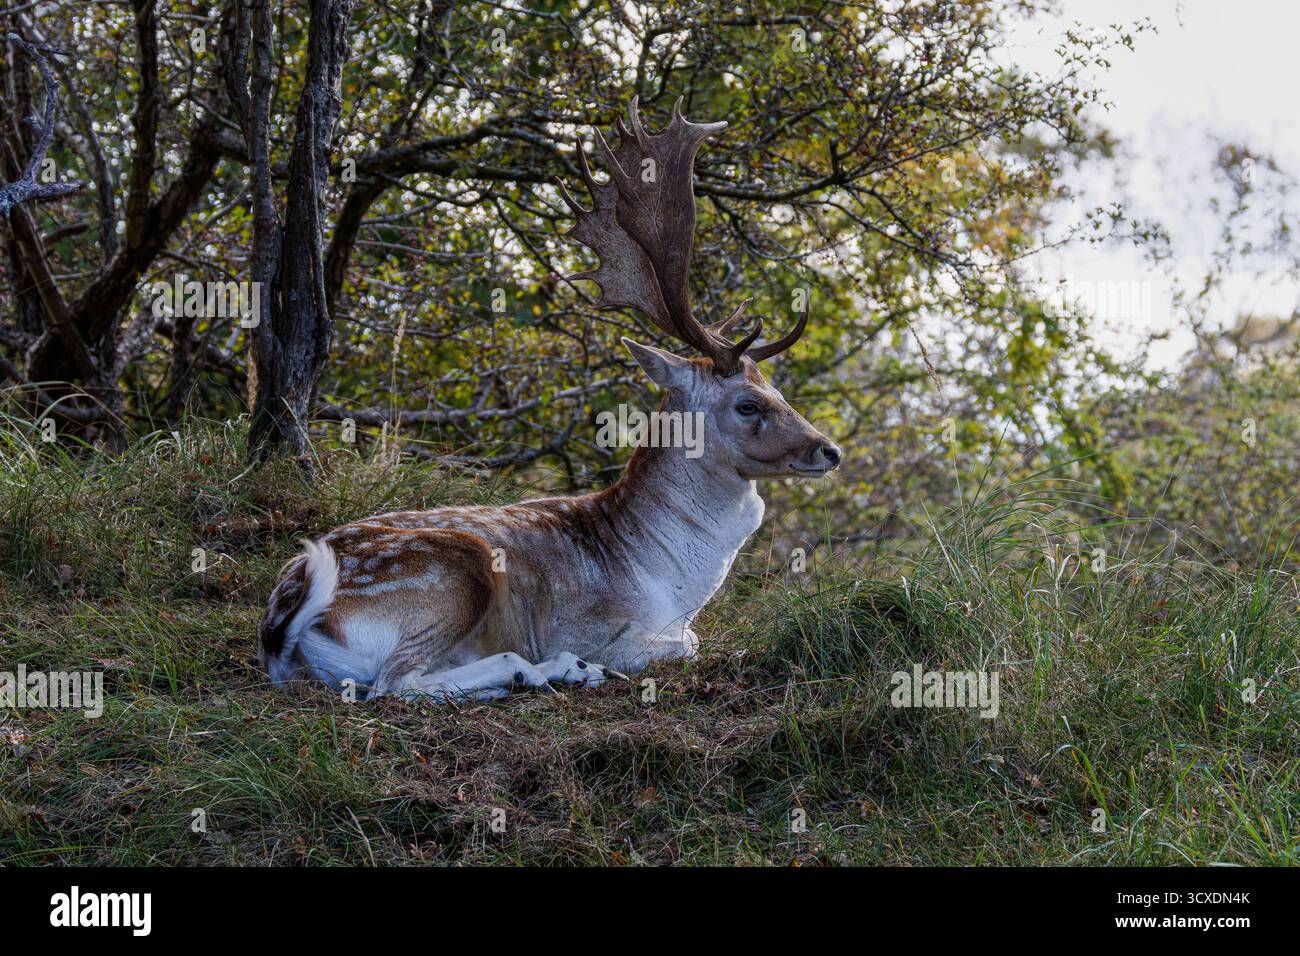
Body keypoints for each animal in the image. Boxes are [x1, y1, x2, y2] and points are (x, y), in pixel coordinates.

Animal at [258, 97, 842, 702]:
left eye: (777, 390)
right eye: (748, 404)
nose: (830, 450)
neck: (669, 584)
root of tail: (280, 637)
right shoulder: (598, 627)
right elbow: (688, 645)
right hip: (453, 569)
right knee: (395, 683)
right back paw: (546, 668)